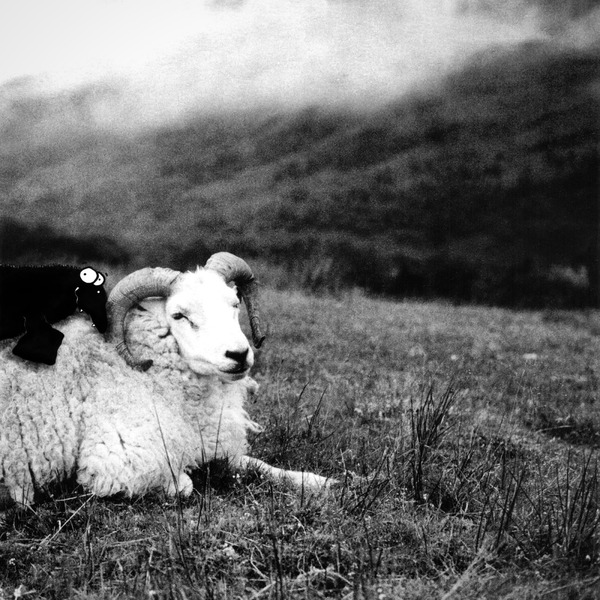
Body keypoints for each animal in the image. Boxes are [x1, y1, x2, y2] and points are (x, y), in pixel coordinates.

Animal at [0, 253, 331, 512]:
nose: (238, 354)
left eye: (234, 303)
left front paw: (318, 480)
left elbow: (258, 464)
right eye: (179, 315)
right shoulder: (116, 460)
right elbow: (183, 485)